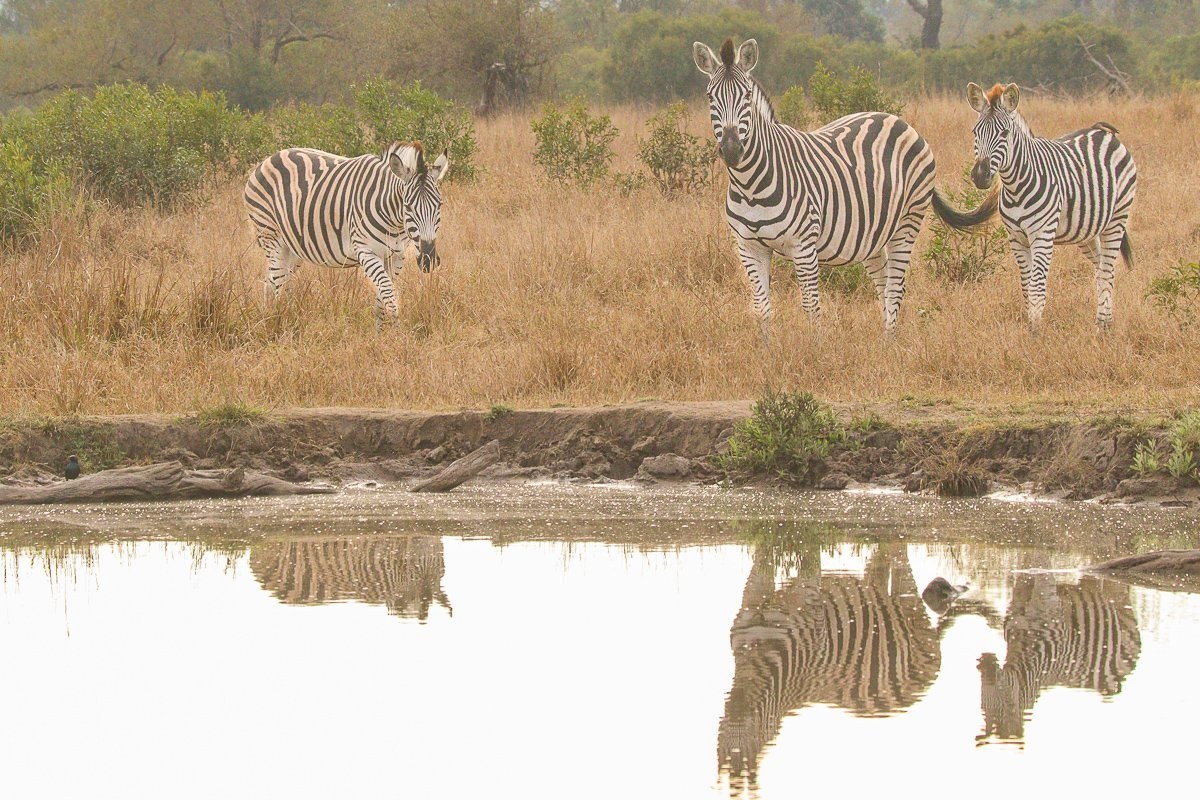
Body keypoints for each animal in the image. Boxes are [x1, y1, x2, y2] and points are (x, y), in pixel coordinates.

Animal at [243, 141, 450, 321]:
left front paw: (380, 334)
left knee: (273, 282)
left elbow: (381, 301)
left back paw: (270, 318)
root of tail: (268, 159)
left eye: (439, 205)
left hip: (292, 248)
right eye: (407, 207)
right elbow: (389, 297)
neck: (395, 222)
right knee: (278, 283)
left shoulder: (396, 256)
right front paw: (396, 335)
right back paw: (280, 321)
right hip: (271, 236)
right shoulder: (366, 251)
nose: (429, 260)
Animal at [693, 38, 994, 337]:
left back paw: (890, 343)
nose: (732, 150)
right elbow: (762, 309)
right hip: (873, 234)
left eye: (746, 96)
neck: (751, 185)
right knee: (884, 284)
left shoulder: (803, 245)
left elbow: (811, 307)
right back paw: (884, 340)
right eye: (710, 97)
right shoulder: (749, 247)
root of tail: (897, 120)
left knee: (895, 288)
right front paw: (766, 348)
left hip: (908, 222)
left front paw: (815, 348)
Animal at [950, 82, 1137, 329]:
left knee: (1107, 269)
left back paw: (1103, 326)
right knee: (1101, 268)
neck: (1016, 187)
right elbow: (1026, 286)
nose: (980, 176)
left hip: (1117, 218)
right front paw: (1031, 325)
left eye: (1004, 133)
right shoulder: (1016, 238)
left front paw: (1035, 331)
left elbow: (1037, 287)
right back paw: (1103, 320)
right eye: (975, 132)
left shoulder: (1042, 235)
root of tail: (1102, 131)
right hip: (1086, 229)